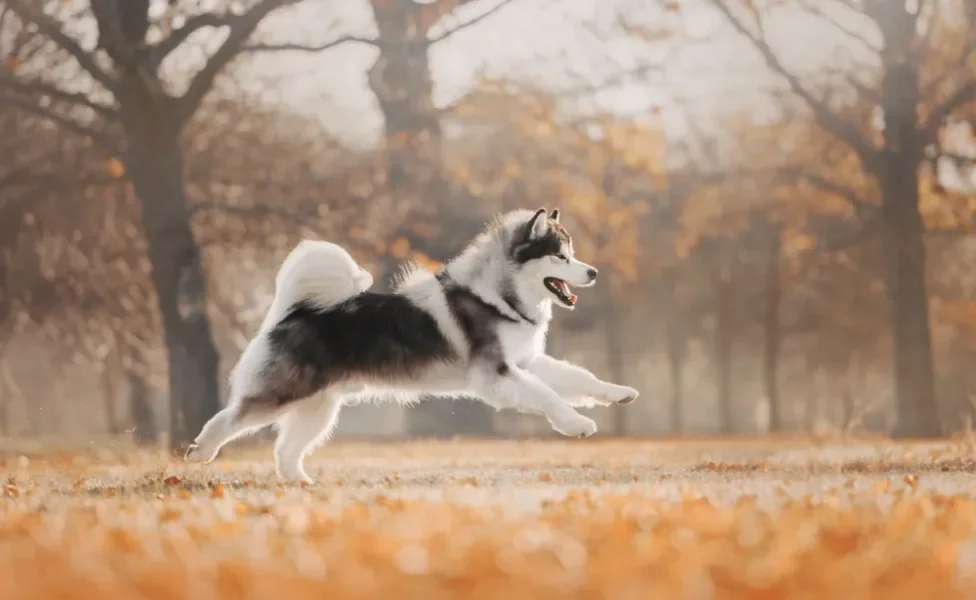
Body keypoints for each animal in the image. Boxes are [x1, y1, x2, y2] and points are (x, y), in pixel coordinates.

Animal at [187, 207, 640, 482]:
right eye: (561, 257)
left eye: (573, 255)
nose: (594, 272)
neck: (499, 295)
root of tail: (294, 312)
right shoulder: (496, 375)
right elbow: (548, 395)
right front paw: (576, 424)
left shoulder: (526, 360)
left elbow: (580, 378)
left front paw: (619, 393)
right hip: (285, 393)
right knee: (228, 418)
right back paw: (200, 452)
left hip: (319, 408)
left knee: (286, 450)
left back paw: (301, 483)